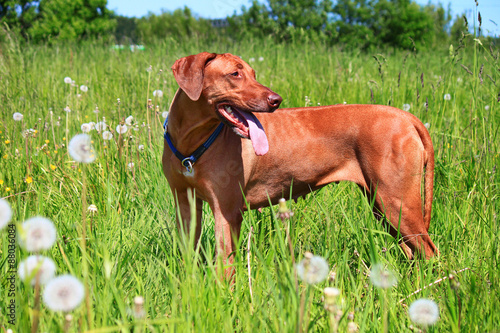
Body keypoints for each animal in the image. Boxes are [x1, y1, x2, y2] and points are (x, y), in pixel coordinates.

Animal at [163, 52, 438, 274]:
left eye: (253, 74)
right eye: (235, 74)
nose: (276, 100)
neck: (191, 141)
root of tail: (408, 117)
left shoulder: (227, 212)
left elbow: (225, 266)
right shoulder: (184, 204)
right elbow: (188, 254)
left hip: (396, 202)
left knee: (428, 251)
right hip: (382, 205)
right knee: (411, 250)